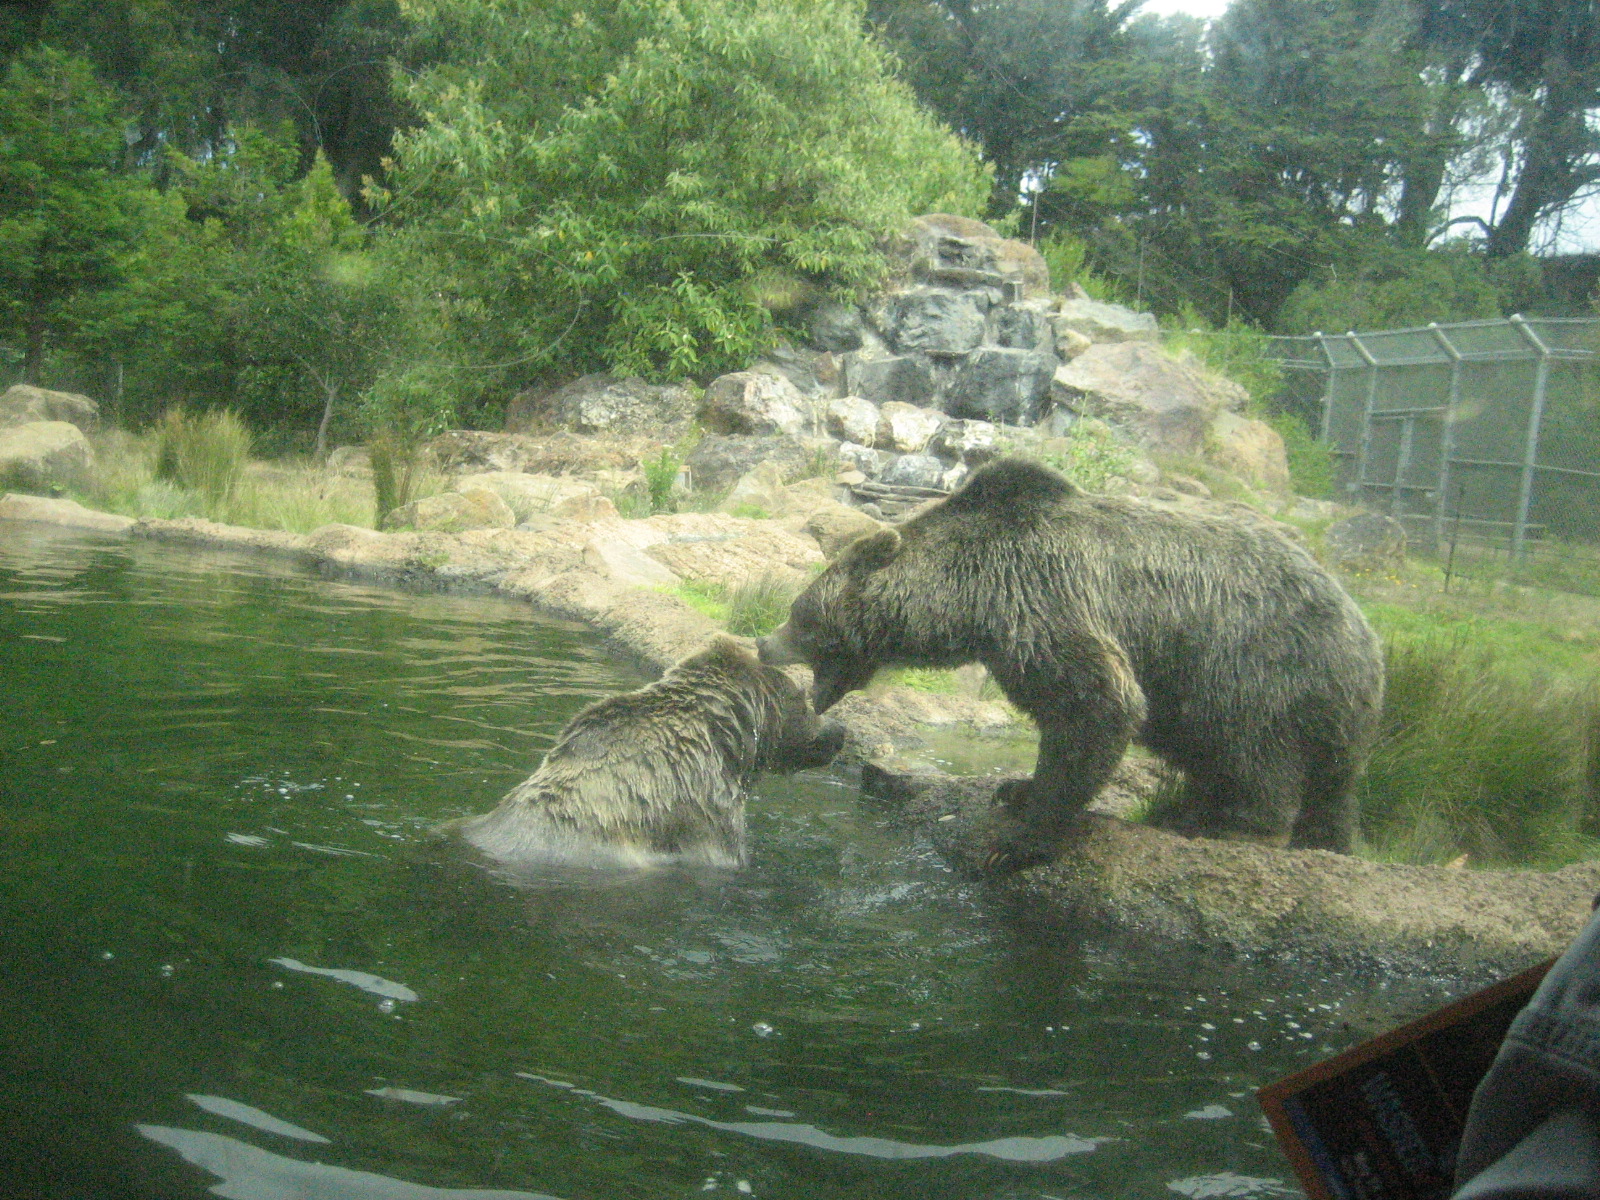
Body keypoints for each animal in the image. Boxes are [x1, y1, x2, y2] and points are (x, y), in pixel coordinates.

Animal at [758, 456, 1384, 872]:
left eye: (800, 615)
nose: (764, 643)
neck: (971, 597)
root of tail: (1367, 637)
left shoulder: (1043, 595)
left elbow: (1097, 704)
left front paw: (1016, 838)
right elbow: (1062, 718)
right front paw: (1016, 789)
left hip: (1257, 666)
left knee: (1255, 752)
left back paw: (1232, 827)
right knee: (1326, 790)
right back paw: (1311, 838)